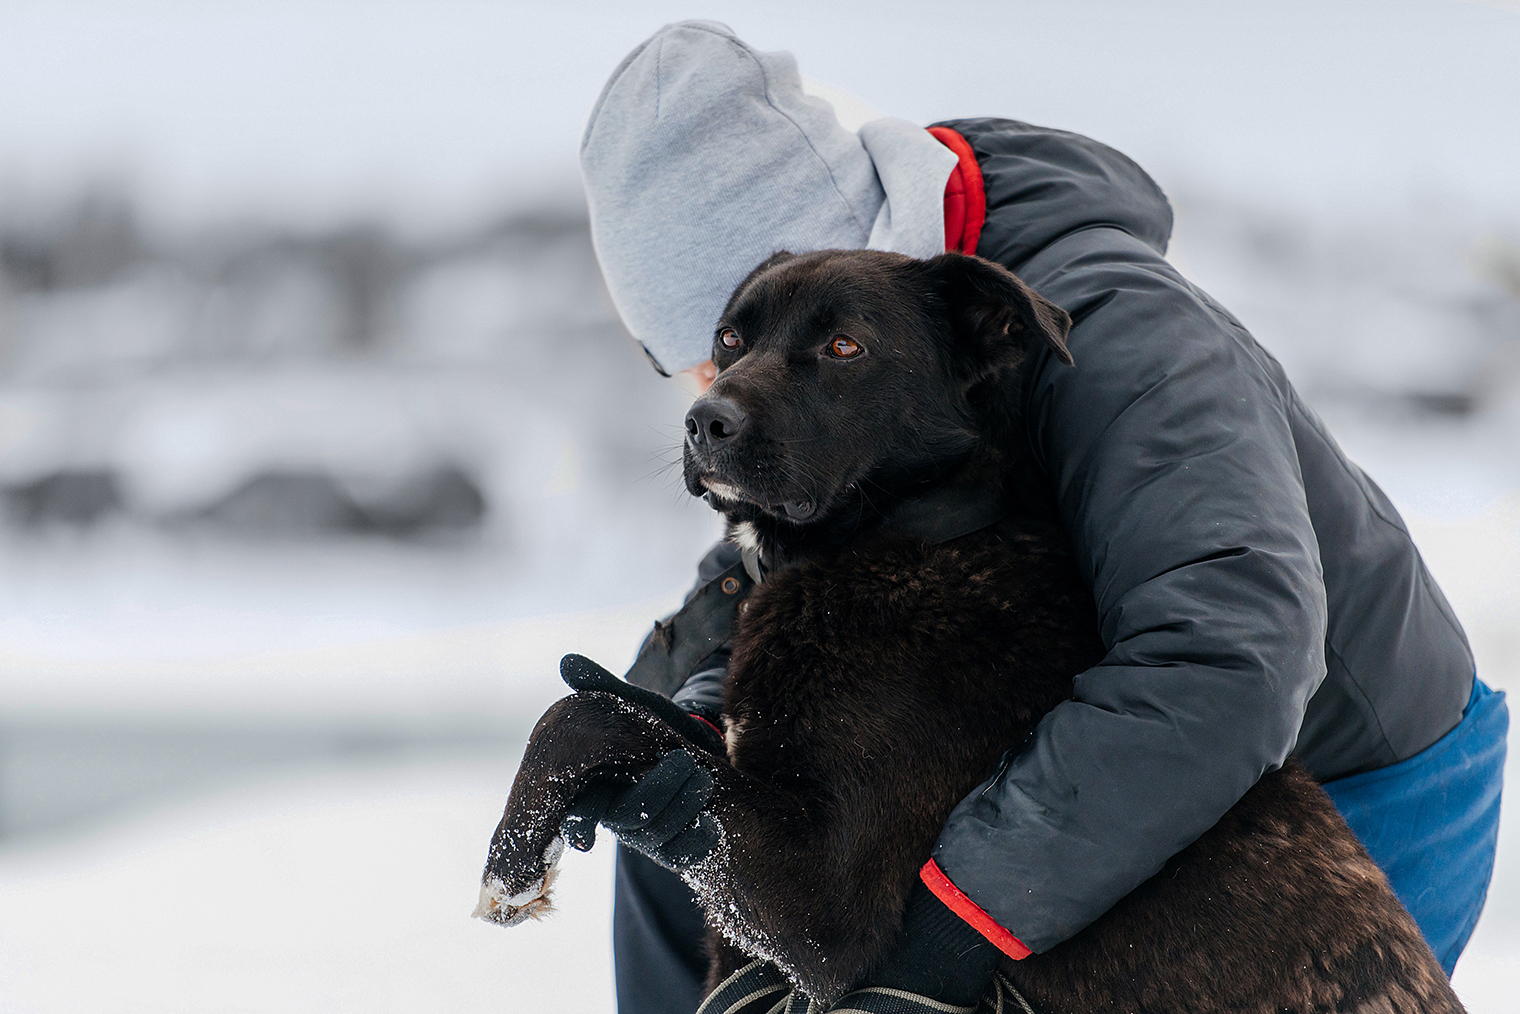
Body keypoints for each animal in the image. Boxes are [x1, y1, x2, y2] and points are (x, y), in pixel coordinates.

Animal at [477, 247, 1459, 1014]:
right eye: (731, 339)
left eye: (843, 346)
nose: (703, 422)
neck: (906, 537)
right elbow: (644, 724)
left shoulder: (827, 909)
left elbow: (587, 717)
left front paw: (510, 866)